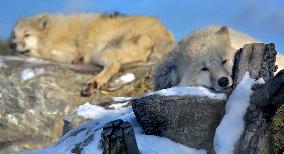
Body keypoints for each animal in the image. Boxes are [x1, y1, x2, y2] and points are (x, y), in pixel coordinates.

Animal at [10, 12, 174, 96]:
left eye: (26, 35)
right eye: (14, 36)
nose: (12, 45)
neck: (53, 33)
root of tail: (161, 32)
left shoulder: (65, 50)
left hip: (100, 54)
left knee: (114, 65)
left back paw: (92, 84)